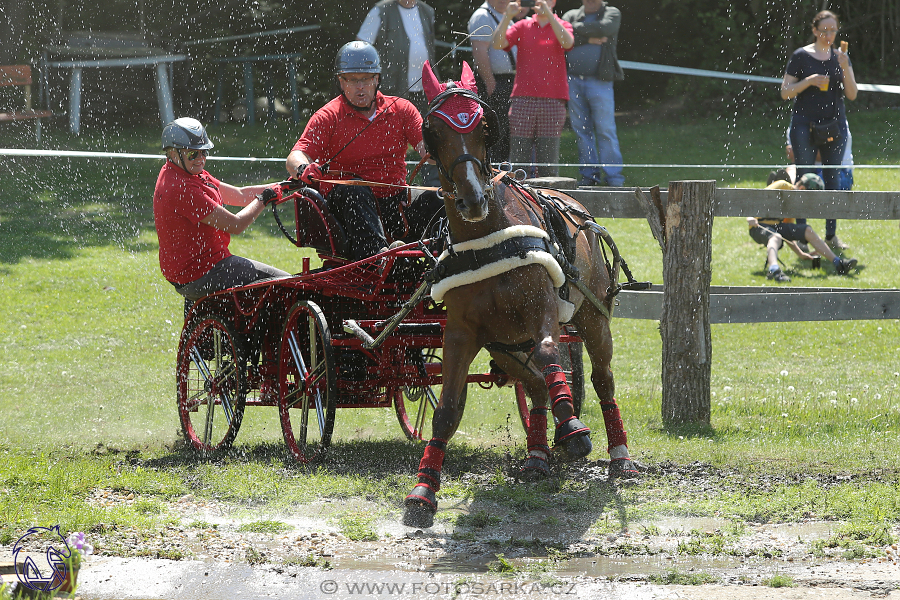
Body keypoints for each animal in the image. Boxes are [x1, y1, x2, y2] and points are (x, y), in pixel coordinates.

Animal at [404, 62, 636, 528]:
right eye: (434, 131)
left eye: (483, 126)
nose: (472, 198)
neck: (487, 237)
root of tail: (570, 197)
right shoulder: (461, 332)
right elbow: (447, 410)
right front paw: (424, 490)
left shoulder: (540, 309)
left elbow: (550, 355)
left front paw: (574, 428)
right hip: (505, 345)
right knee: (533, 386)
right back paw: (537, 455)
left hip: (591, 318)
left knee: (599, 378)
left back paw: (617, 454)